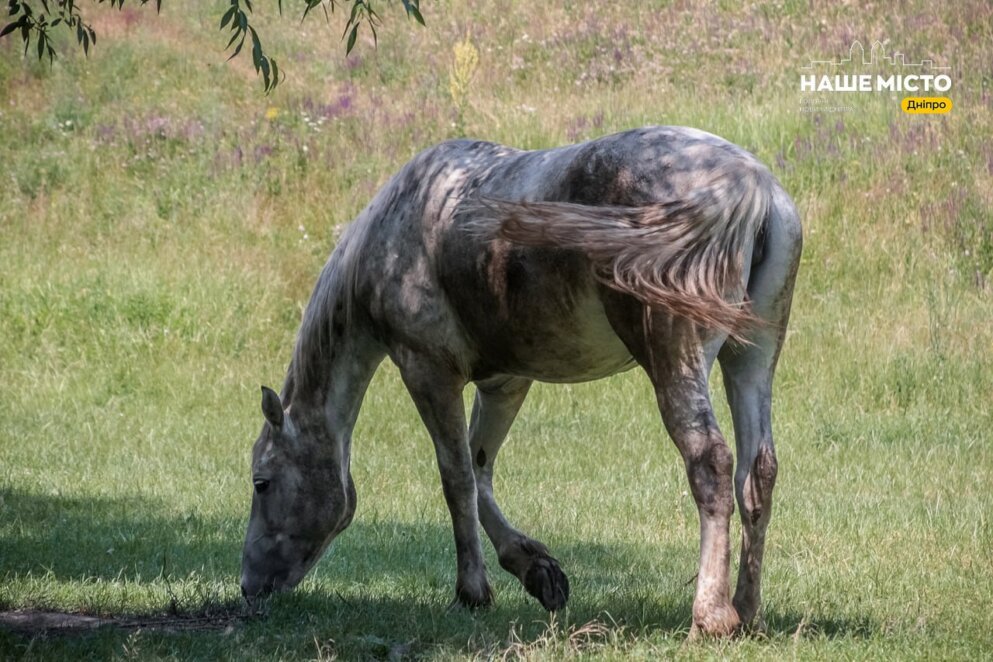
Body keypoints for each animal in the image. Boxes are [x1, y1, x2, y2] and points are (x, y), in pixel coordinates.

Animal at [244, 126, 804, 640]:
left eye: (261, 482)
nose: (249, 587)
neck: (406, 220)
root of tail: (747, 185)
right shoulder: (505, 382)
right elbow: (479, 469)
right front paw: (537, 571)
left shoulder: (427, 371)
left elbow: (456, 478)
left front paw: (472, 591)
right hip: (750, 360)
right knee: (757, 473)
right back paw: (747, 611)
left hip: (677, 362)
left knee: (710, 463)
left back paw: (711, 615)